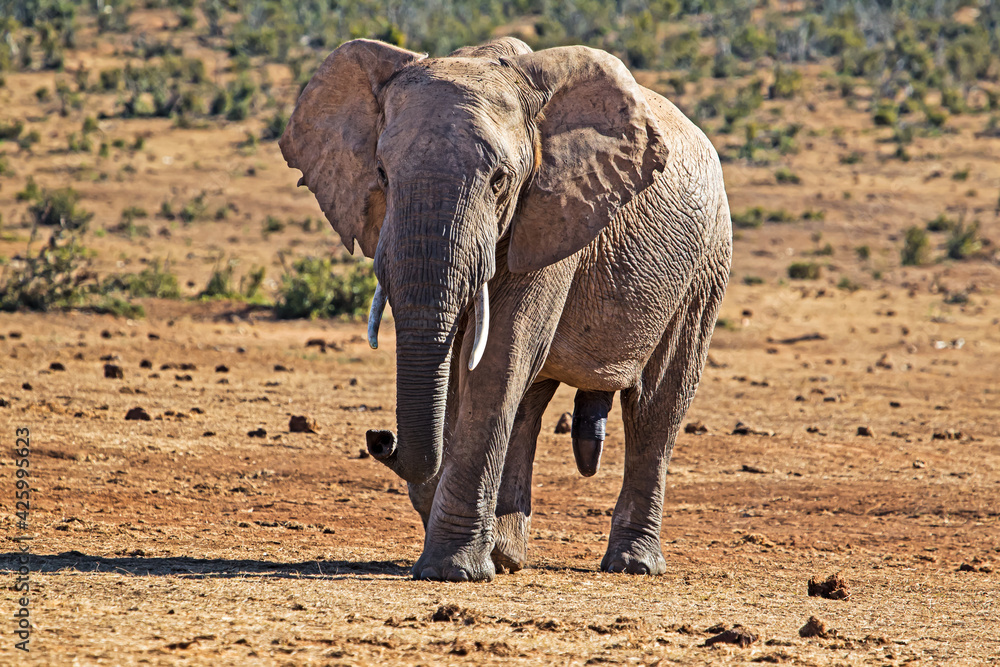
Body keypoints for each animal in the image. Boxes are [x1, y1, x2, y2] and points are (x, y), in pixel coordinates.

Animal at [279, 37, 732, 582]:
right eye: (382, 175)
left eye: (499, 180)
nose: (379, 437)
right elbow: (472, 366)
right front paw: (472, 552)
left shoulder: (554, 212)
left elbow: (496, 357)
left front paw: (452, 570)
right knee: (531, 402)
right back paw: (508, 554)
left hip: (706, 264)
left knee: (657, 403)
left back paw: (632, 565)